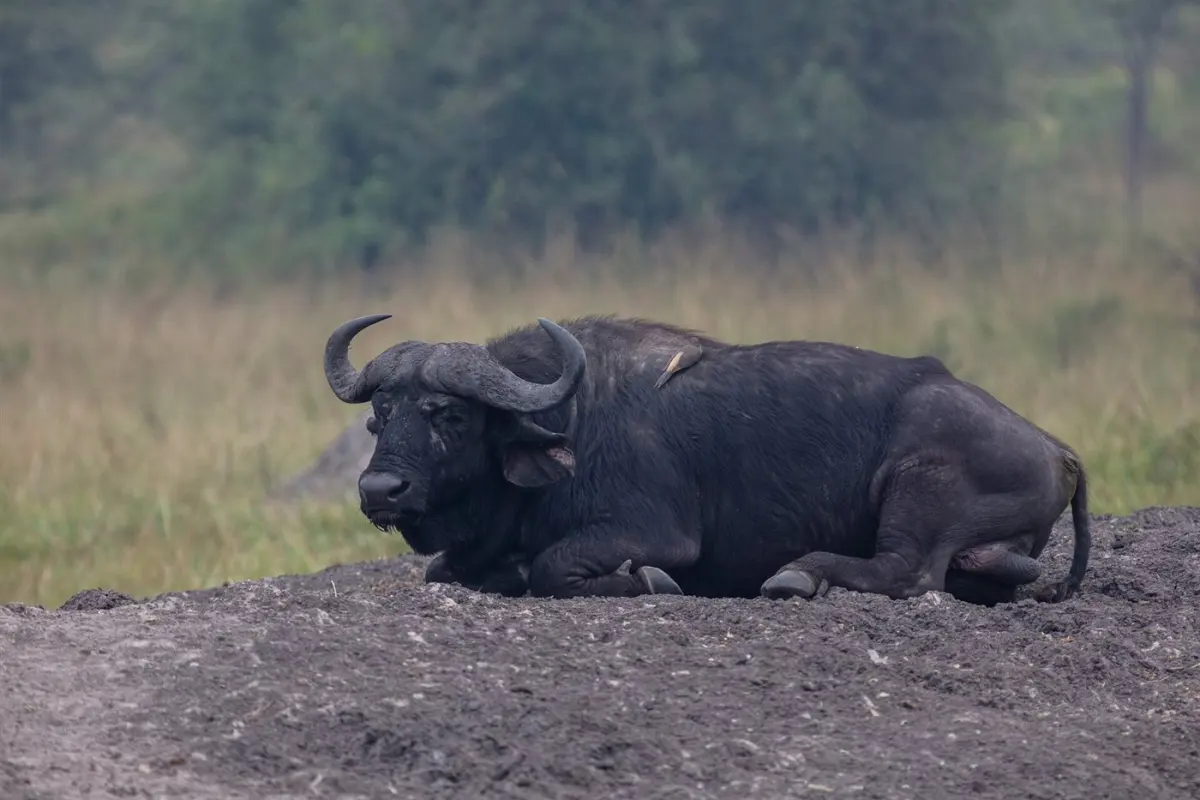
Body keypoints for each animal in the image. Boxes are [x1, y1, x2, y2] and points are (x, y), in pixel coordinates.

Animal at [322, 314, 1090, 606]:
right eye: (380, 415)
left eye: (447, 414)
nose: (381, 489)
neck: (575, 417)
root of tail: (1057, 449)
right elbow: (443, 568)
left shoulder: (653, 530)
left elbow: (553, 567)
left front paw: (645, 580)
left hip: (917, 483)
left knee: (909, 570)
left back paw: (797, 575)